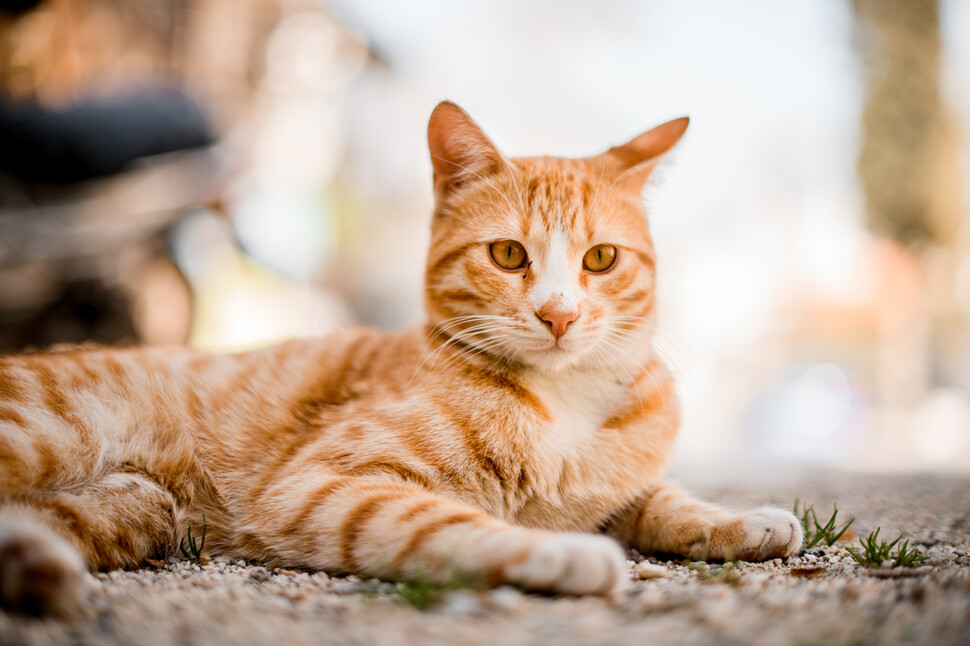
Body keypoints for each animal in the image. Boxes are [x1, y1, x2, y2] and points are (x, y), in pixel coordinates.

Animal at [0, 101, 800, 616]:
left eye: (601, 259)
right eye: (508, 254)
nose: (559, 315)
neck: (563, 399)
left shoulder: (612, 486)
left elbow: (663, 499)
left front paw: (746, 521)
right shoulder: (322, 486)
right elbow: (449, 525)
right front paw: (565, 555)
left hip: (137, 506)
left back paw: (36, 569)